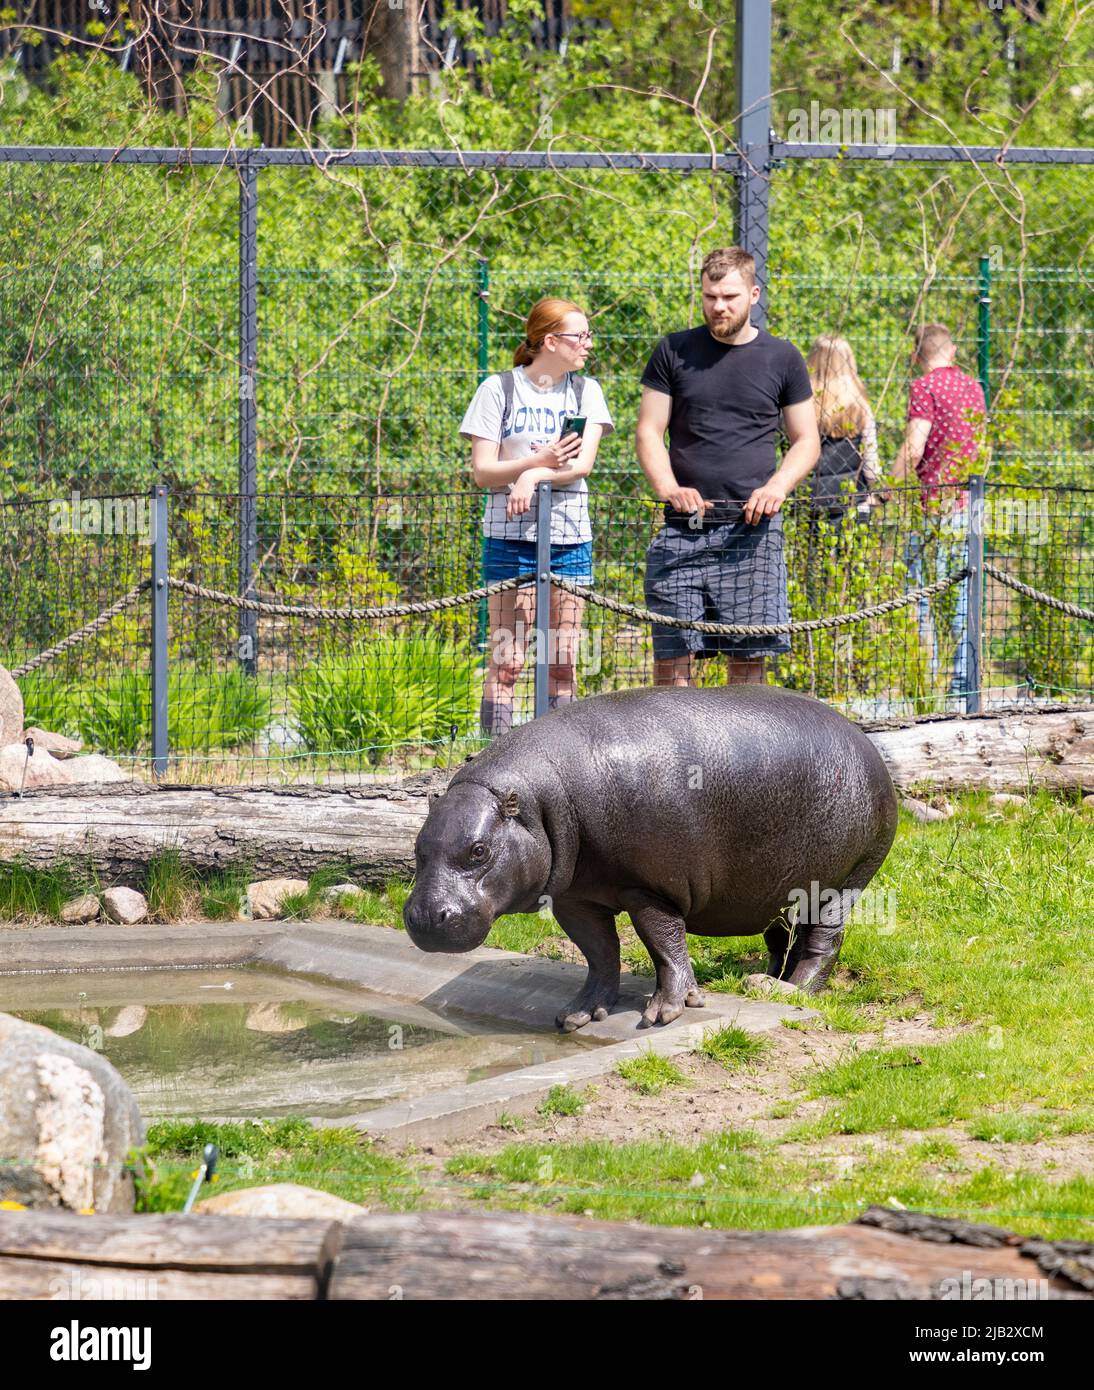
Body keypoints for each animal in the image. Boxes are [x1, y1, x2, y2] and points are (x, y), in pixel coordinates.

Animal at [403, 686, 900, 1034]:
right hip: (778, 884)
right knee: (782, 934)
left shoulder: (649, 888)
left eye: (479, 851)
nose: (426, 915)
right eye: (417, 846)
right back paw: (764, 977)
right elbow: (599, 952)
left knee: (824, 939)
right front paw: (578, 1014)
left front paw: (666, 1012)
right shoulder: (575, 898)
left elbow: (664, 944)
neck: (538, 803)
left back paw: (791, 989)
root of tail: (864, 739)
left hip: (846, 880)